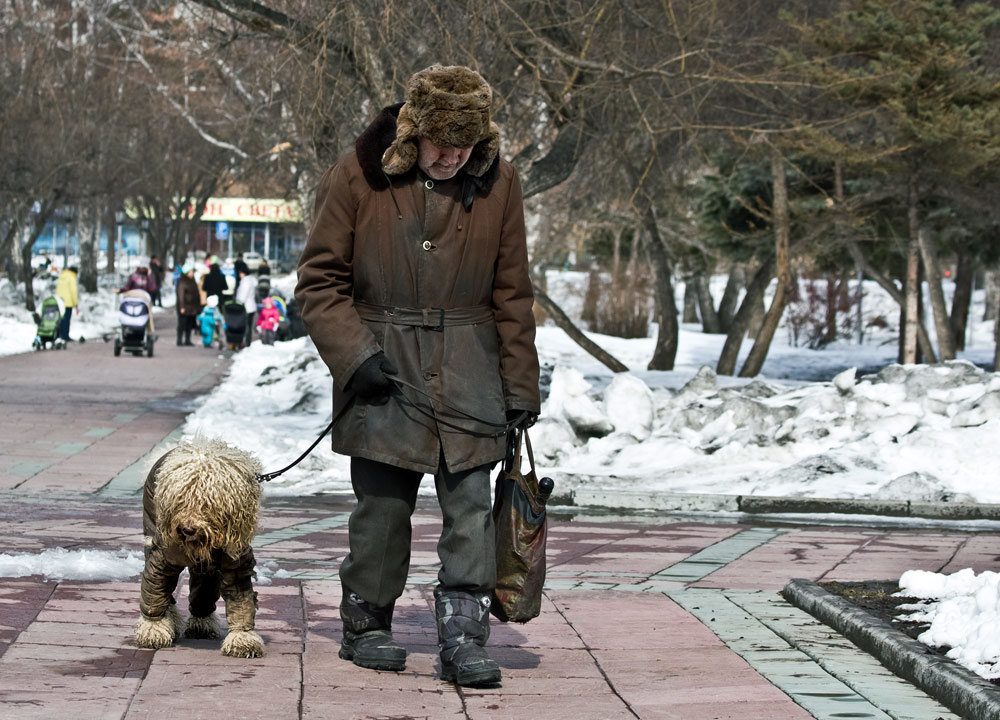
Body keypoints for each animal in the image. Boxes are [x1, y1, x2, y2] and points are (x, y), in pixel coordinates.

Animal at [134, 438, 266, 660]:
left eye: (208, 504)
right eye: (181, 500)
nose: (187, 529)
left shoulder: (235, 565)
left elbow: (240, 600)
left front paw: (243, 639)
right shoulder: (163, 558)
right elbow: (155, 591)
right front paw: (153, 629)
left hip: (207, 570)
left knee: (203, 591)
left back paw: (201, 624)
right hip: (151, 528)